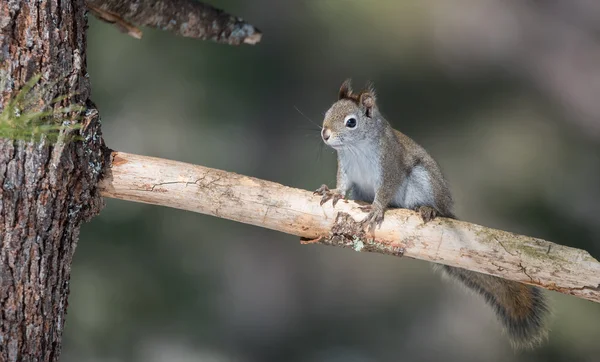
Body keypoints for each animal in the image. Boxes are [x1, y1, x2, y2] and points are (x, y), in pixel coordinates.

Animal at [316, 78, 552, 348]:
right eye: (327, 113)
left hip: (423, 182)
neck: (356, 148)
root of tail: (448, 209)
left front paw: (376, 209)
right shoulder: (346, 168)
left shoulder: (390, 166)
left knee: (433, 207)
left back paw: (427, 209)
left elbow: (385, 192)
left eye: (351, 122)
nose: (325, 134)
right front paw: (333, 192)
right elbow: (342, 184)